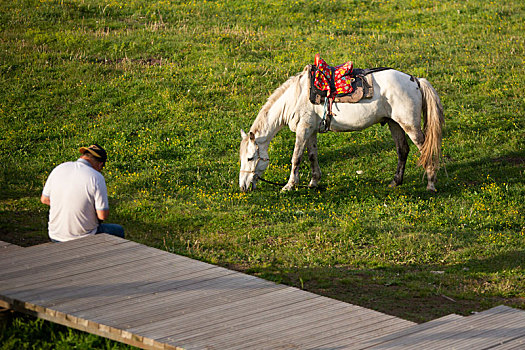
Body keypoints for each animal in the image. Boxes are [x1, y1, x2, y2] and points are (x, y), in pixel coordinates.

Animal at [238, 64, 442, 193]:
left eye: (250, 158)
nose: (243, 187)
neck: (295, 97)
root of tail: (415, 80)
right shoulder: (311, 131)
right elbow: (312, 156)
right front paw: (313, 182)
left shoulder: (303, 130)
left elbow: (296, 158)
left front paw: (289, 186)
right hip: (395, 123)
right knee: (402, 150)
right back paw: (395, 182)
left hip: (410, 125)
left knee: (426, 150)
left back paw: (431, 185)